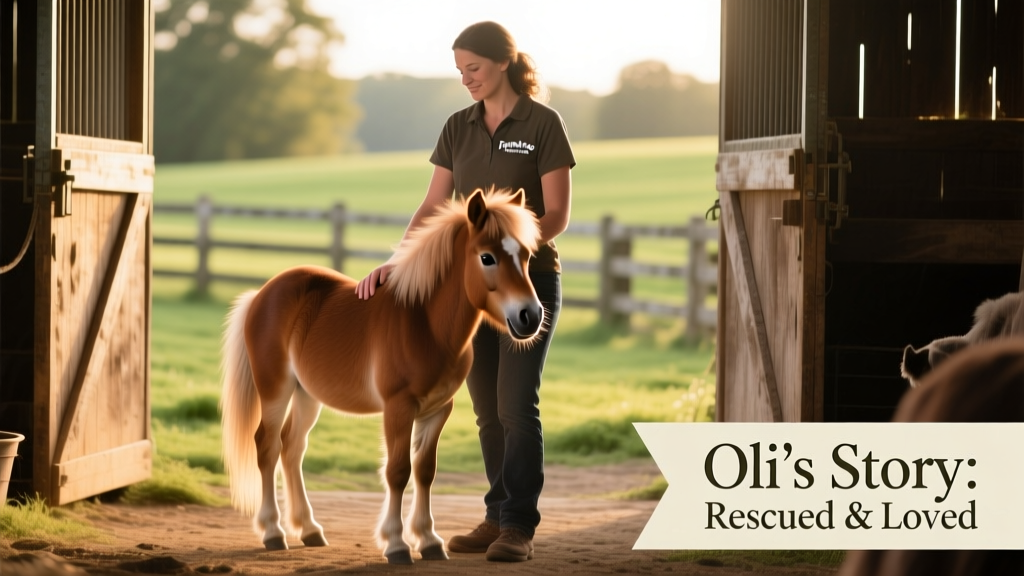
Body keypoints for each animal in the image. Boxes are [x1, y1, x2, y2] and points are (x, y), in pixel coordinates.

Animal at [219, 188, 544, 564]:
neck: (425, 324)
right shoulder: (398, 408)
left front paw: (429, 540)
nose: (530, 315)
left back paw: (310, 530)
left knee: (292, 447)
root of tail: (262, 294)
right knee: (267, 446)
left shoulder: (438, 409)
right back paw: (273, 532)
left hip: (306, 395)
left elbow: (425, 471)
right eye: (487, 257)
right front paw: (397, 544)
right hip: (275, 389)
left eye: (526, 255)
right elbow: (398, 471)